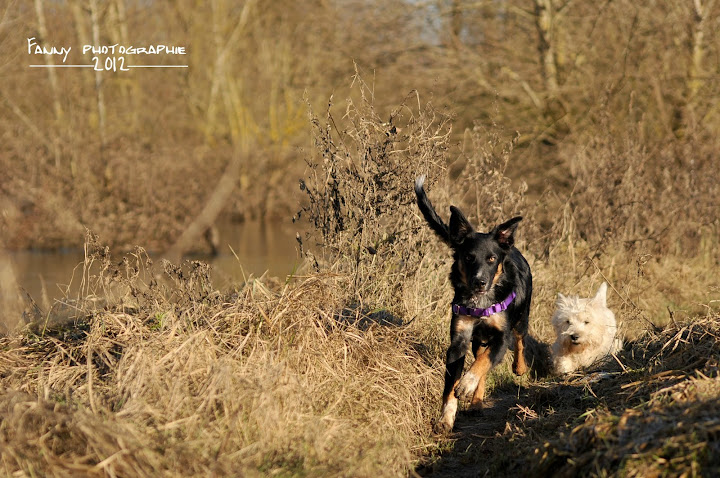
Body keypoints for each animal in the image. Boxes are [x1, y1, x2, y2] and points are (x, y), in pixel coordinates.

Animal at [414, 177, 532, 436]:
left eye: (491, 259)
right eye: (468, 257)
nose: (480, 282)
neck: (480, 304)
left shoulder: (501, 337)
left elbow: (484, 362)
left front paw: (467, 383)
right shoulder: (458, 340)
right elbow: (452, 385)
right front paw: (446, 419)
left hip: (522, 318)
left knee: (519, 341)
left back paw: (519, 368)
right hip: (478, 340)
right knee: (482, 361)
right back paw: (476, 402)